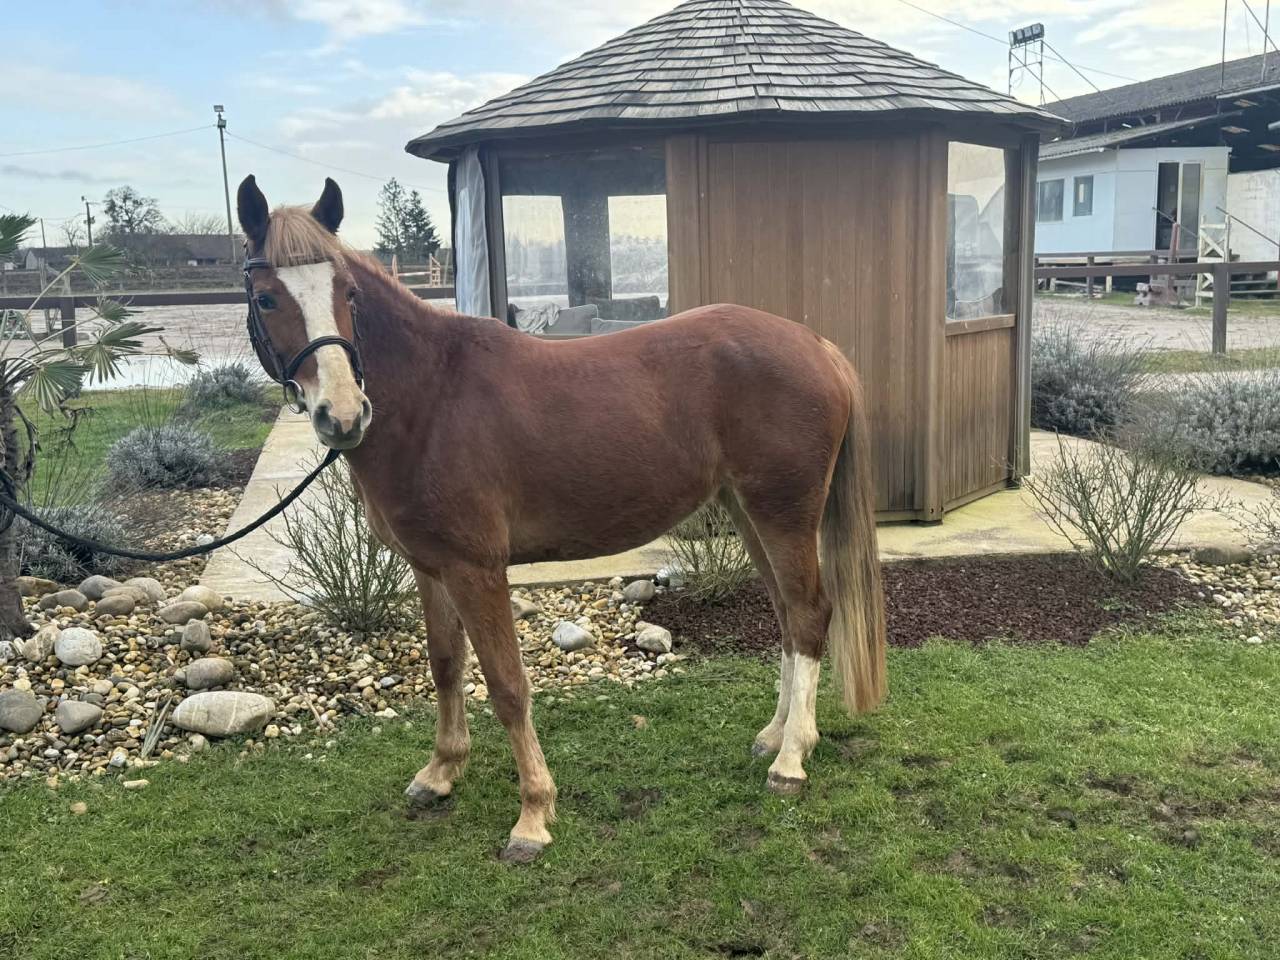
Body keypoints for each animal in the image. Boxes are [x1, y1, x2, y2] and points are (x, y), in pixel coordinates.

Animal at [236, 175, 887, 862]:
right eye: (267, 297)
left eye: (349, 293)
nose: (343, 414)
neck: (432, 399)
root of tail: (817, 346)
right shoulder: (430, 568)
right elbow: (445, 665)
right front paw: (440, 772)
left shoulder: (476, 570)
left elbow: (507, 686)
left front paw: (532, 815)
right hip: (748, 510)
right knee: (788, 615)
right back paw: (777, 735)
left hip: (783, 512)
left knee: (810, 614)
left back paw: (791, 760)